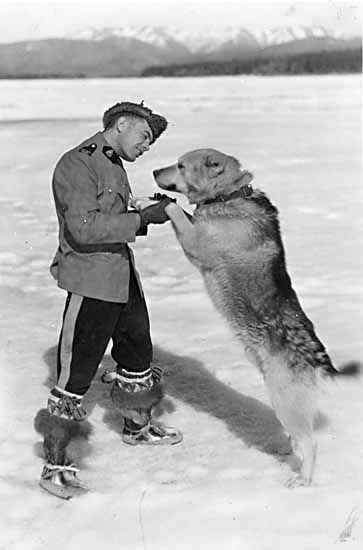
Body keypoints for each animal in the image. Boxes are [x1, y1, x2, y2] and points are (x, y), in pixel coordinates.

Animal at [153, 148, 358, 488]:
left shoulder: (197, 244)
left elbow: (177, 212)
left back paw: (303, 480)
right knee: (298, 439)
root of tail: (317, 358)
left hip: (284, 399)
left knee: (311, 443)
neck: (228, 196)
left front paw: (154, 201)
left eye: (181, 165)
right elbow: (186, 213)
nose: (155, 171)